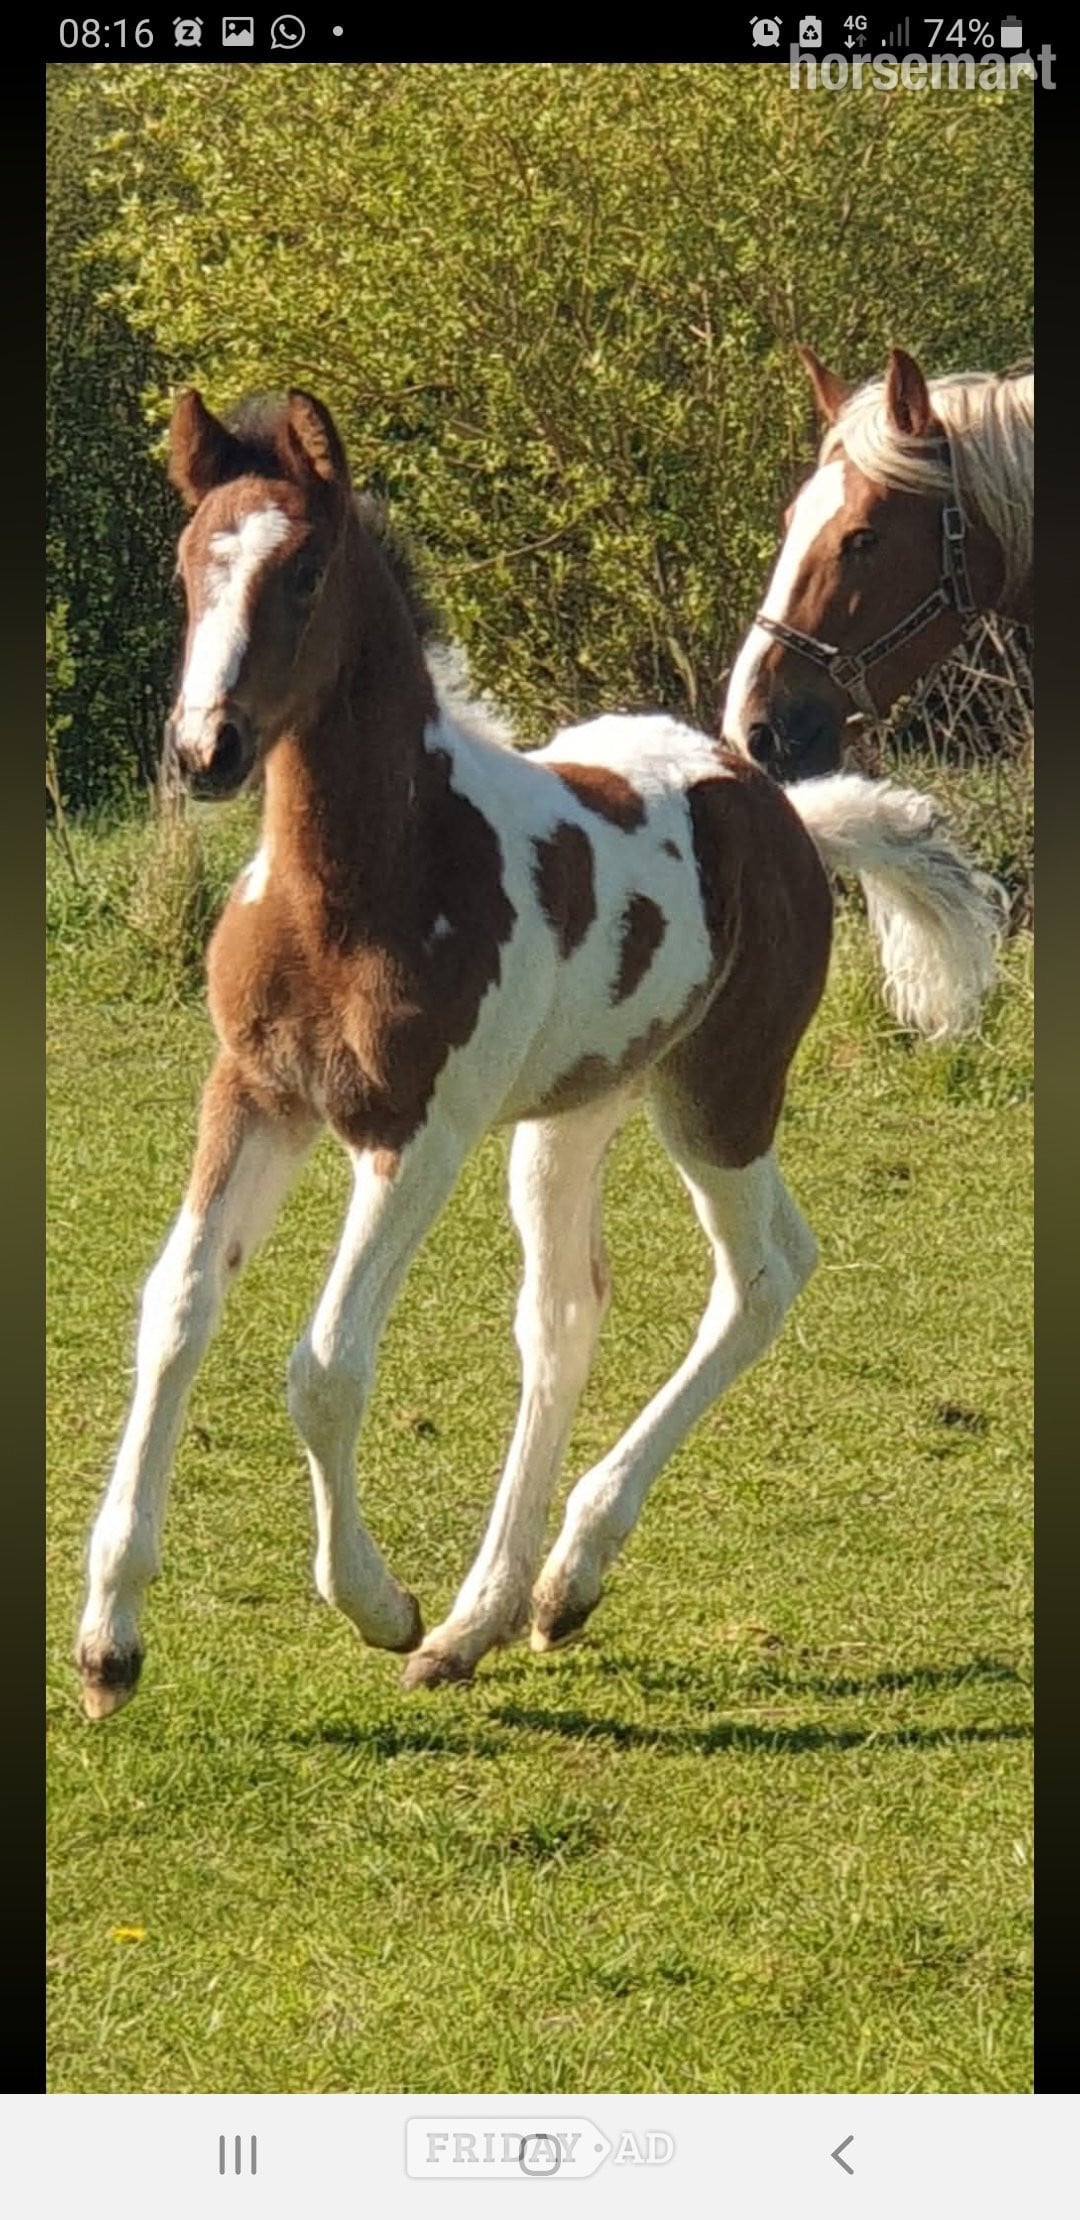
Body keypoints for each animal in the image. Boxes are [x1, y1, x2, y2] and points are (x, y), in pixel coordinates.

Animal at [75, 386, 1004, 1719]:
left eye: (304, 572)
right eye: (191, 563)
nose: (207, 750)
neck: (368, 880)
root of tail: (782, 810)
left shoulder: (417, 1132)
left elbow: (325, 1365)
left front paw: (375, 1603)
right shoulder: (253, 1093)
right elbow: (177, 1309)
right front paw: (108, 1644)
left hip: (718, 1099)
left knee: (766, 1273)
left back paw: (560, 1577)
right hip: (569, 1116)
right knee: (564, 1314)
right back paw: (488, 1613)